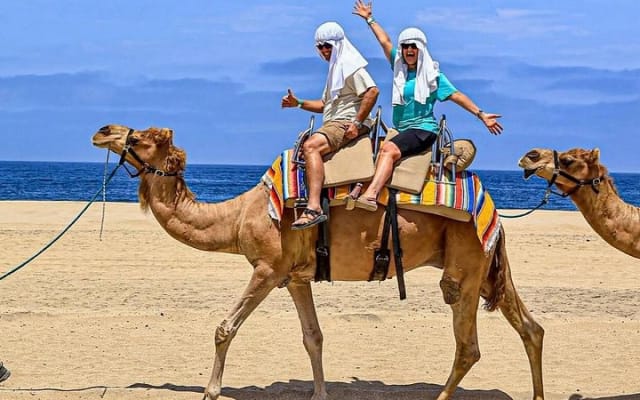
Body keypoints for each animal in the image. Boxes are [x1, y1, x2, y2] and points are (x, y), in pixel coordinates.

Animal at [92, 124, 545, 400]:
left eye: (145, 137)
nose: (104, 130)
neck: (238, 217)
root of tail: (490, 206)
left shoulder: (268, 268)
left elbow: (225, 328)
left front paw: (210, 391)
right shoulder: (295, 277)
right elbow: (314, 337)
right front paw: (320, 393)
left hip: (465, 265)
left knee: (468, 346)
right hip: (485, 267)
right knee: (531, 328)